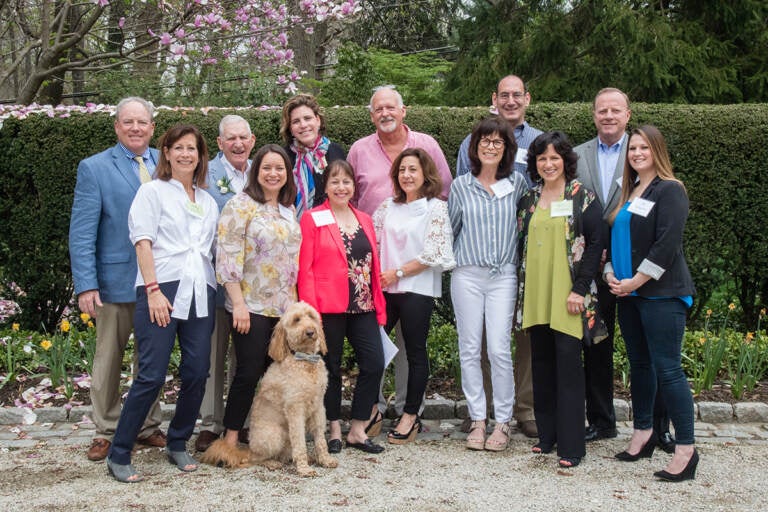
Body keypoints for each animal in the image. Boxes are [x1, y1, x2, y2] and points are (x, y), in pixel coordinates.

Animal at [202, 300, 338, 476]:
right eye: (296, 320)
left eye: (311, 316)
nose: (310, 331)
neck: (305, 360)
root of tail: (249, 448)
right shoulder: (295, 409)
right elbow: (300, 441)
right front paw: (303, 468)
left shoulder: (319, 406)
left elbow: (320, 438)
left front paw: (325, 459)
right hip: (275, 435)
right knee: (257, 458)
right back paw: (272, 463)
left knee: (283, 455)